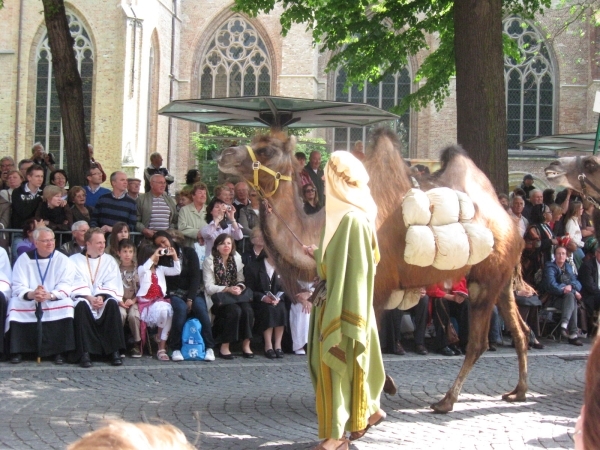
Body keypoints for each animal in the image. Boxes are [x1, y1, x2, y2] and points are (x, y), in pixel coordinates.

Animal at [218, 127, 528, 414]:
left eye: (266, 149)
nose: (224, 154)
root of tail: (510, 222)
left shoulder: (375, 287)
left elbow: (365, 341)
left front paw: (378, 390)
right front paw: (376, 389)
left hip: (485, 281)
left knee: (478, 343)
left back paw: (446, 401)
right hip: (501, 282)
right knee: (519, 330)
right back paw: (518, 392)